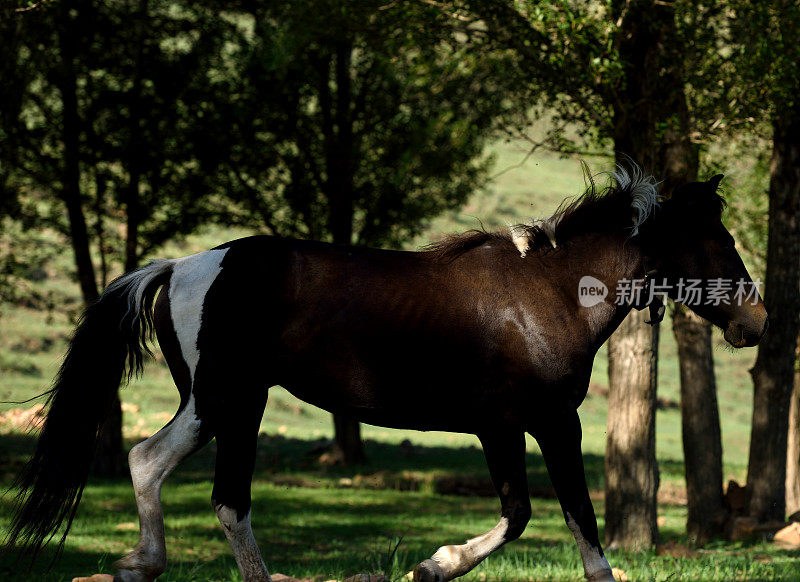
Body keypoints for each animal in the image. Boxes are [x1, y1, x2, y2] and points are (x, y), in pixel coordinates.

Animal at [6, 165, 768, 582]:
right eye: (719, 240)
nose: (756, 322)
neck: (546, 294)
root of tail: (183, 265)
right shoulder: (544, 424)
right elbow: (566, 516)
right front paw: (436, 564)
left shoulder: (506, 429)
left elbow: (520, 514)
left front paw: (431, 564)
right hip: (226, 400)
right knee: (185, 479)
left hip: (225, 404)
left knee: (181, 478)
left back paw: (153, 565)